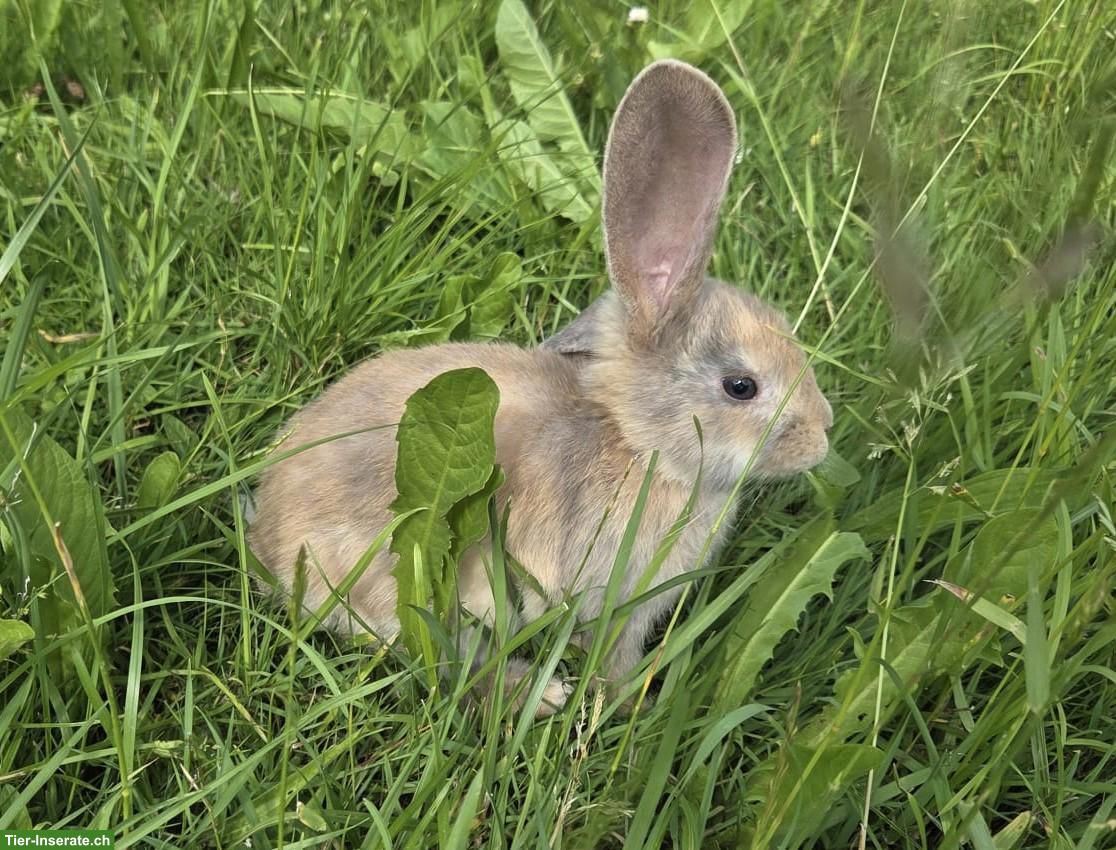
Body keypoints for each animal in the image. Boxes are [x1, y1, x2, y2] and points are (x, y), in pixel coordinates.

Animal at [249, 59, 833, 717]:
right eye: (741, 386)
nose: (822, 435)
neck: (638, 443)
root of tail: (269, 546)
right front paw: (625, 700)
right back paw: (543, 692)